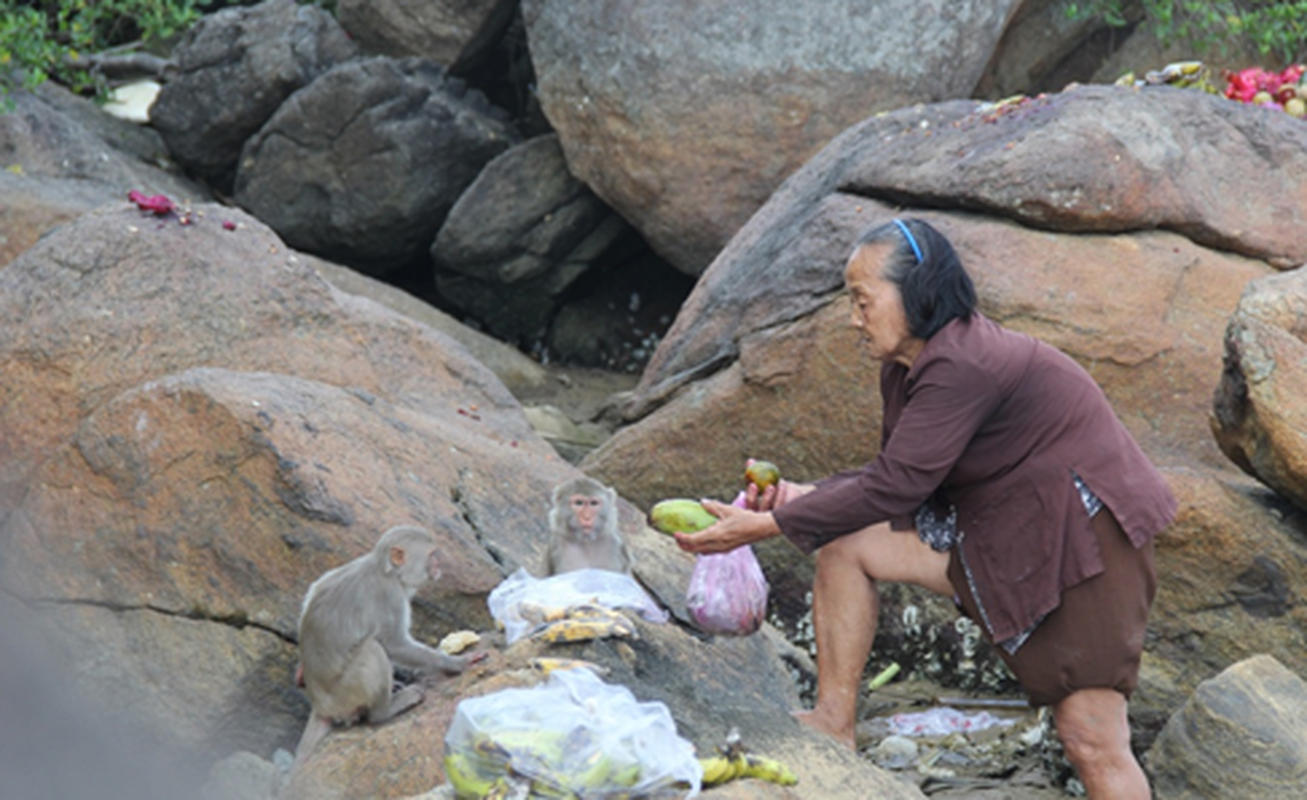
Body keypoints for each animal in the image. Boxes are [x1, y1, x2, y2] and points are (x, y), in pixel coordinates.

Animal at [291, 522, 486, 773]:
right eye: (432, 555)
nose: (438, 566)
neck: (386, 570)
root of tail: (320, 705)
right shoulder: (390, 596)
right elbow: (396, 645)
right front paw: (457, 662)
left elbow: (315, 588)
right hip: (344, 694)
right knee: (373, 649)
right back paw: (385, 710)